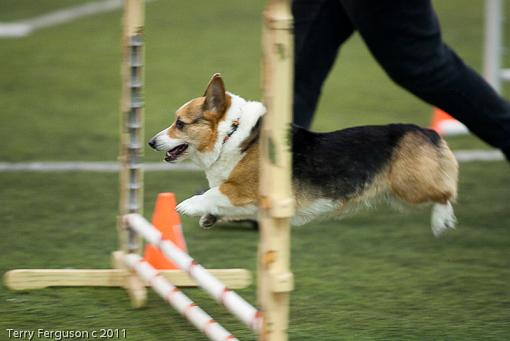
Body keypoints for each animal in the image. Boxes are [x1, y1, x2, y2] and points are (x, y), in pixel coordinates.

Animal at [147, 73, 458, 235]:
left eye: (180, 123)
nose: (150, 142)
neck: (230, 135)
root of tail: (428, 132)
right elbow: (218, 200)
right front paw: (209, 217)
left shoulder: (244, 189)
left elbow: (214, 192)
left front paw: (187, 206)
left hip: (410, 186)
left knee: (446, 192)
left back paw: (442, 219)